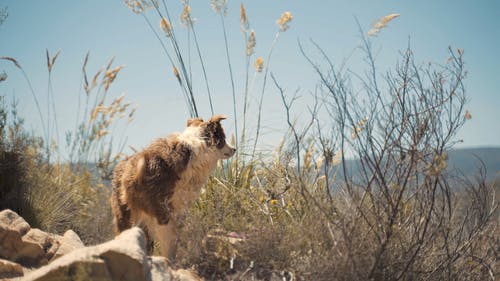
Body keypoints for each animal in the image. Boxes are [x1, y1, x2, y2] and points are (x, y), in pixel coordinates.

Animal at [110, 114, 235, 260]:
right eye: (223, 138)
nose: (234, 149)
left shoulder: (178, 208)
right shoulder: (163, 209)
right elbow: (168, 241)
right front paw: (169, 259)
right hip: (133, 212)